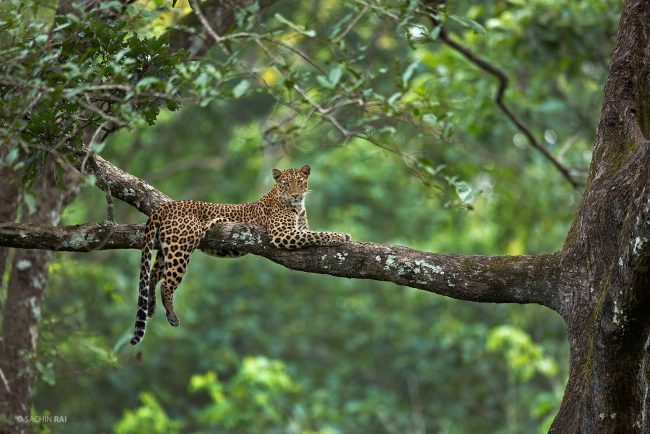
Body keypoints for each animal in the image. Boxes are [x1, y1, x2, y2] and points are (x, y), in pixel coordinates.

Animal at [130, 165, 351, 345]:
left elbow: (312, 233)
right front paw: (341, 236)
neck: (297, 208)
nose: (296, 195)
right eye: (286, 184)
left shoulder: (299, 230)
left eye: (300, 182)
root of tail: (167, 205)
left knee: (152, 275)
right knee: (167, 283)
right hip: (181, 247)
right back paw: (172, 316)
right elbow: (318, 234)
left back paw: (151, 308)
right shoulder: (282, 234)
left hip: (165, 249)